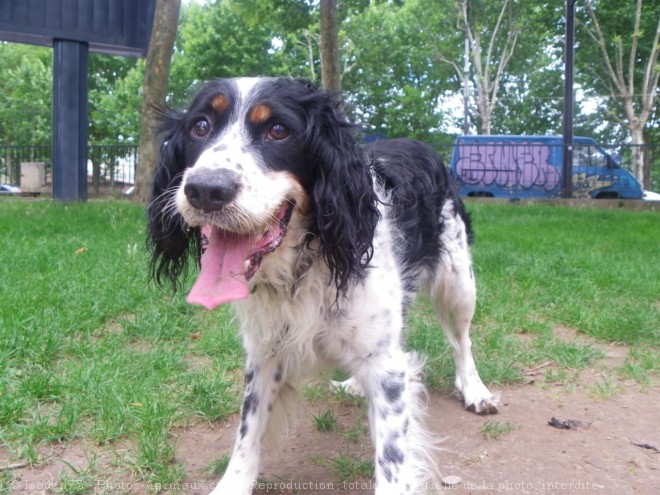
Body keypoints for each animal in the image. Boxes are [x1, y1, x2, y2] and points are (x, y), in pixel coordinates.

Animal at [147, 75, 498, 494]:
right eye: (199, 126)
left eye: (278, 130)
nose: (205, 190)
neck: (306, 263)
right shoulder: (265, 353)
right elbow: (247, 434)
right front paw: (232, 484)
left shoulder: (386, 365)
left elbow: (393, 459)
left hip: (459, 283)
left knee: (462, 341)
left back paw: (475, 390)